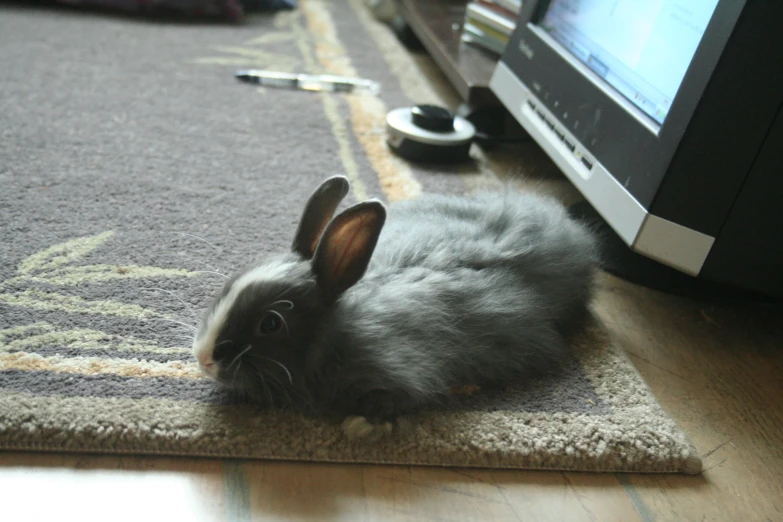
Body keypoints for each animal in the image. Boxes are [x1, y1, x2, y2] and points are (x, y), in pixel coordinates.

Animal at [193, 175, 596, 426]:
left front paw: (362, 424)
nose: (203, 358)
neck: (336, 332)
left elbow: (397, 398)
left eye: (271, 324)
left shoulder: (401, 370)